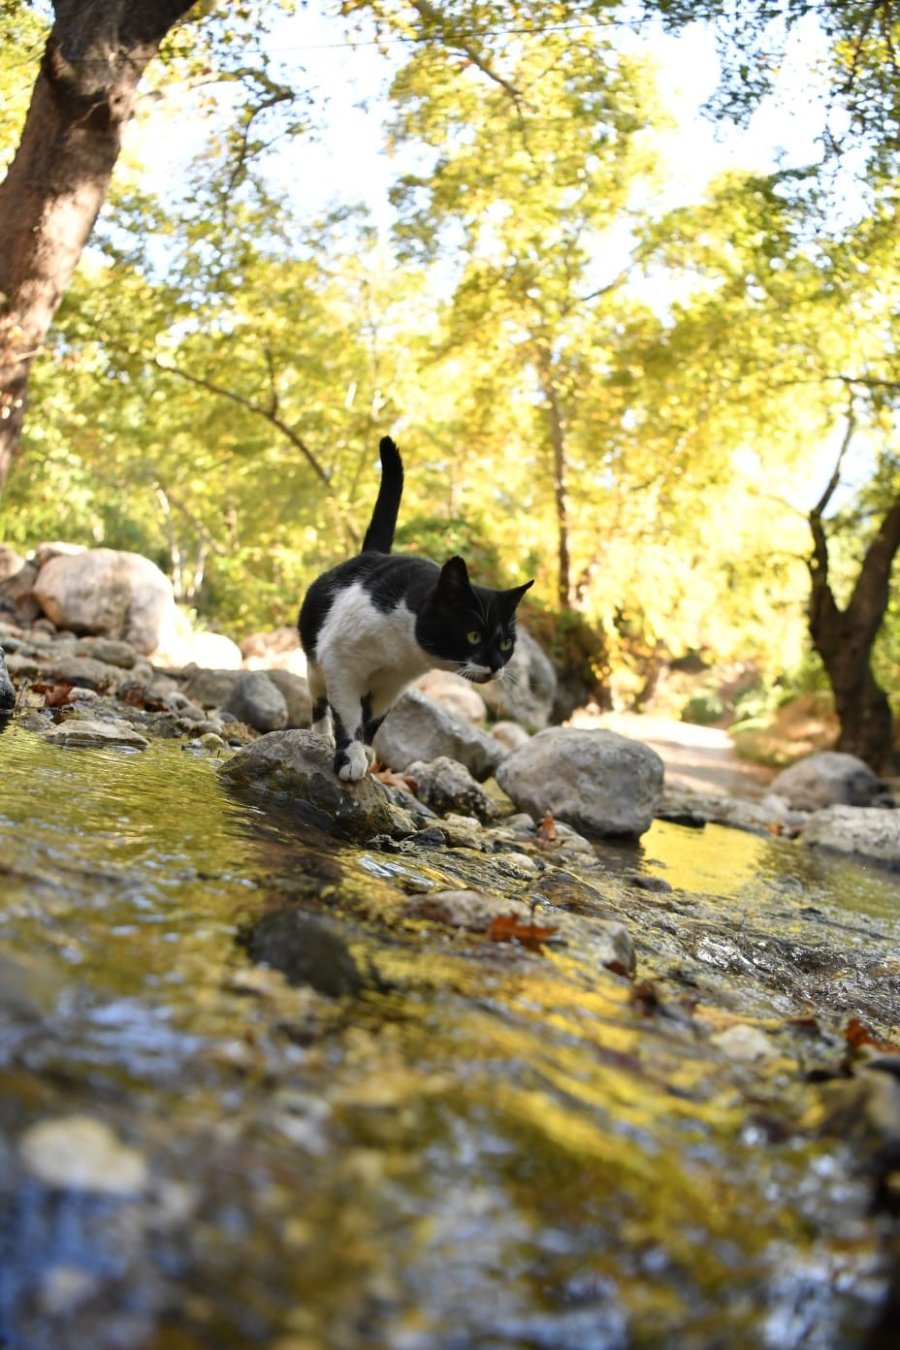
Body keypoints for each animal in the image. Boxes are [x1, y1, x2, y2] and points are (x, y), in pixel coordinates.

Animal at [299, 437, 531, 783]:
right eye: (474, 636)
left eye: (506, 643)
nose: (495, 666)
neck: (401, 650)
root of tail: (372, 553)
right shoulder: (341, 665)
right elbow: (348, 716)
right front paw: (350, 757)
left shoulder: (392, 685)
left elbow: (372, 721)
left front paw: (364, 751)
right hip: (315, 663)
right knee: (318, 700)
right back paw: (322, 736)